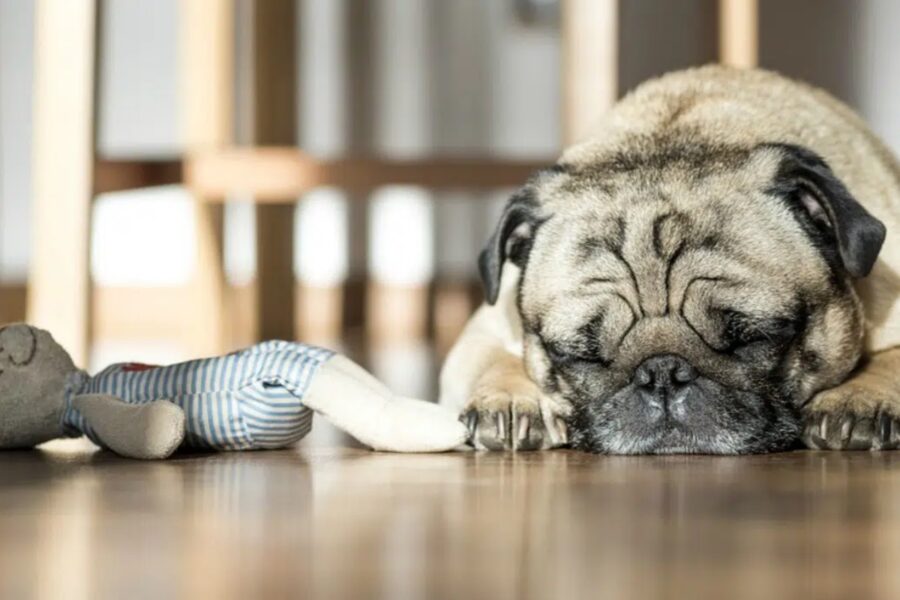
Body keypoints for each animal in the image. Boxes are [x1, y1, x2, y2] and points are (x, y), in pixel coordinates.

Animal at [442, 65, 900, 454]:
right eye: (579, 355)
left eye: (755, 338)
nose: (662, 373)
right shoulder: (485, 328)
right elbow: (493, 359)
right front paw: (513, 398)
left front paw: (858, 397)